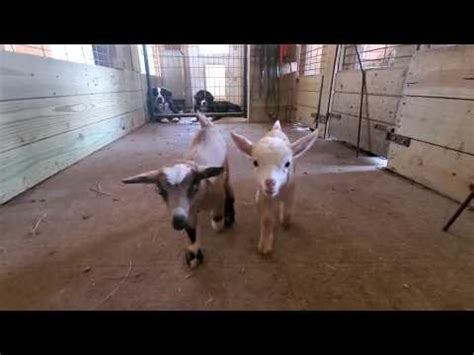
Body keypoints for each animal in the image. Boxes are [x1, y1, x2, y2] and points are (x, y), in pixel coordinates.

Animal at [121, 114, 234, 270]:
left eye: (194, 185)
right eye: (160, 190)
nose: (178, 221)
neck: (200, 199)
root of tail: (206, 125)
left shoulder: (217, 199)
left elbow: (217, 223)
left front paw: (223, 221)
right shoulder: (189, 213)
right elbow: (191, 232)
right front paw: (193, 255)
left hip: (226, 168)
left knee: (229, 190)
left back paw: (230, 215)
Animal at [231, 121, 316, 256]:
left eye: (287, 164)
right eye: (255, 163)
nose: (270, 183)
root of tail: (276, 129)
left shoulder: (291, 190)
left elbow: (287, 214)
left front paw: (284, 222)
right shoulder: (265, 197)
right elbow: (267, 220)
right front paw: (265, 245)